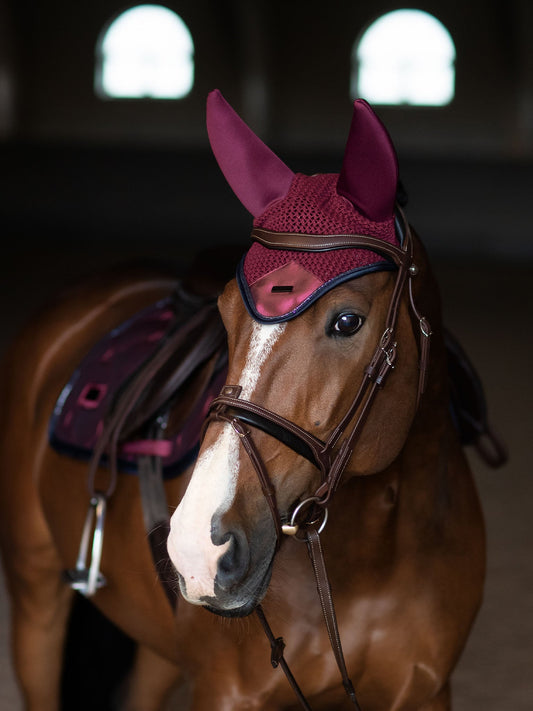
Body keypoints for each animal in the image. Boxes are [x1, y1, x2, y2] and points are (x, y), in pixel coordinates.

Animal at [0, 90, 496, 711]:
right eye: (225, 311)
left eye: (348, 321)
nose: (196, 546)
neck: (373, 550)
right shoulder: (224, 692)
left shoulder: (426, 691)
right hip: (36, 592)